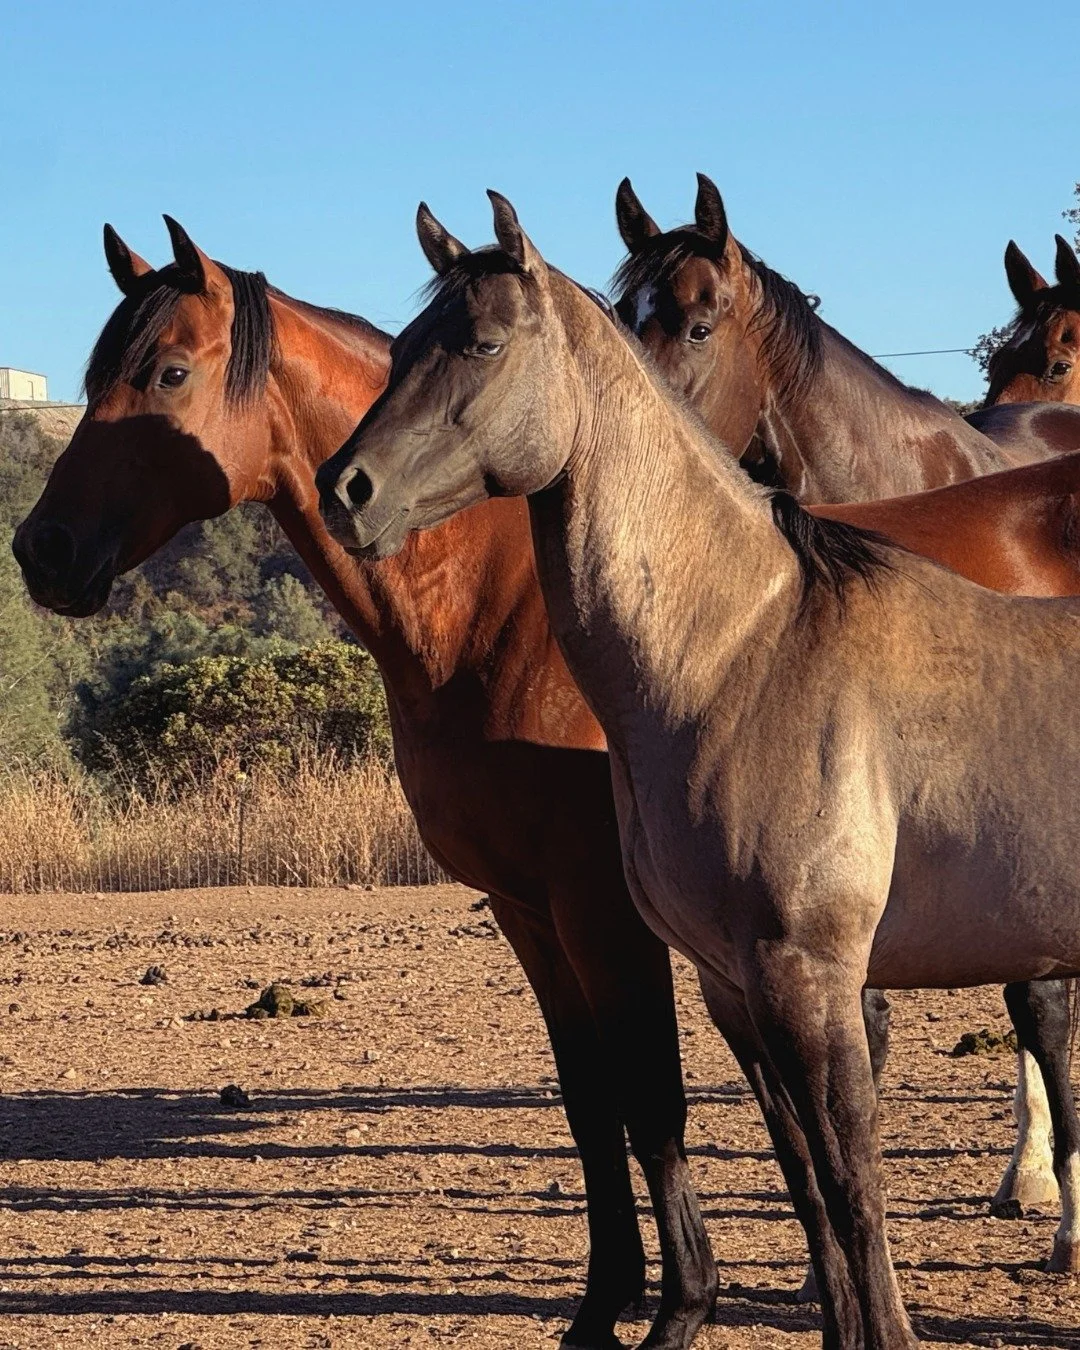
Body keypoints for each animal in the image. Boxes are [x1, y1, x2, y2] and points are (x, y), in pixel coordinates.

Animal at [12, 219, 717, 1350]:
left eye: (168, 373)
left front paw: (684, 1309)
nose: (44, 550)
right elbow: (587, 1104)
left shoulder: (603, 910)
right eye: (90, 378)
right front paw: (603, 1305)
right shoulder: (529, 909)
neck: (504, 611)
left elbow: (650, 1102)